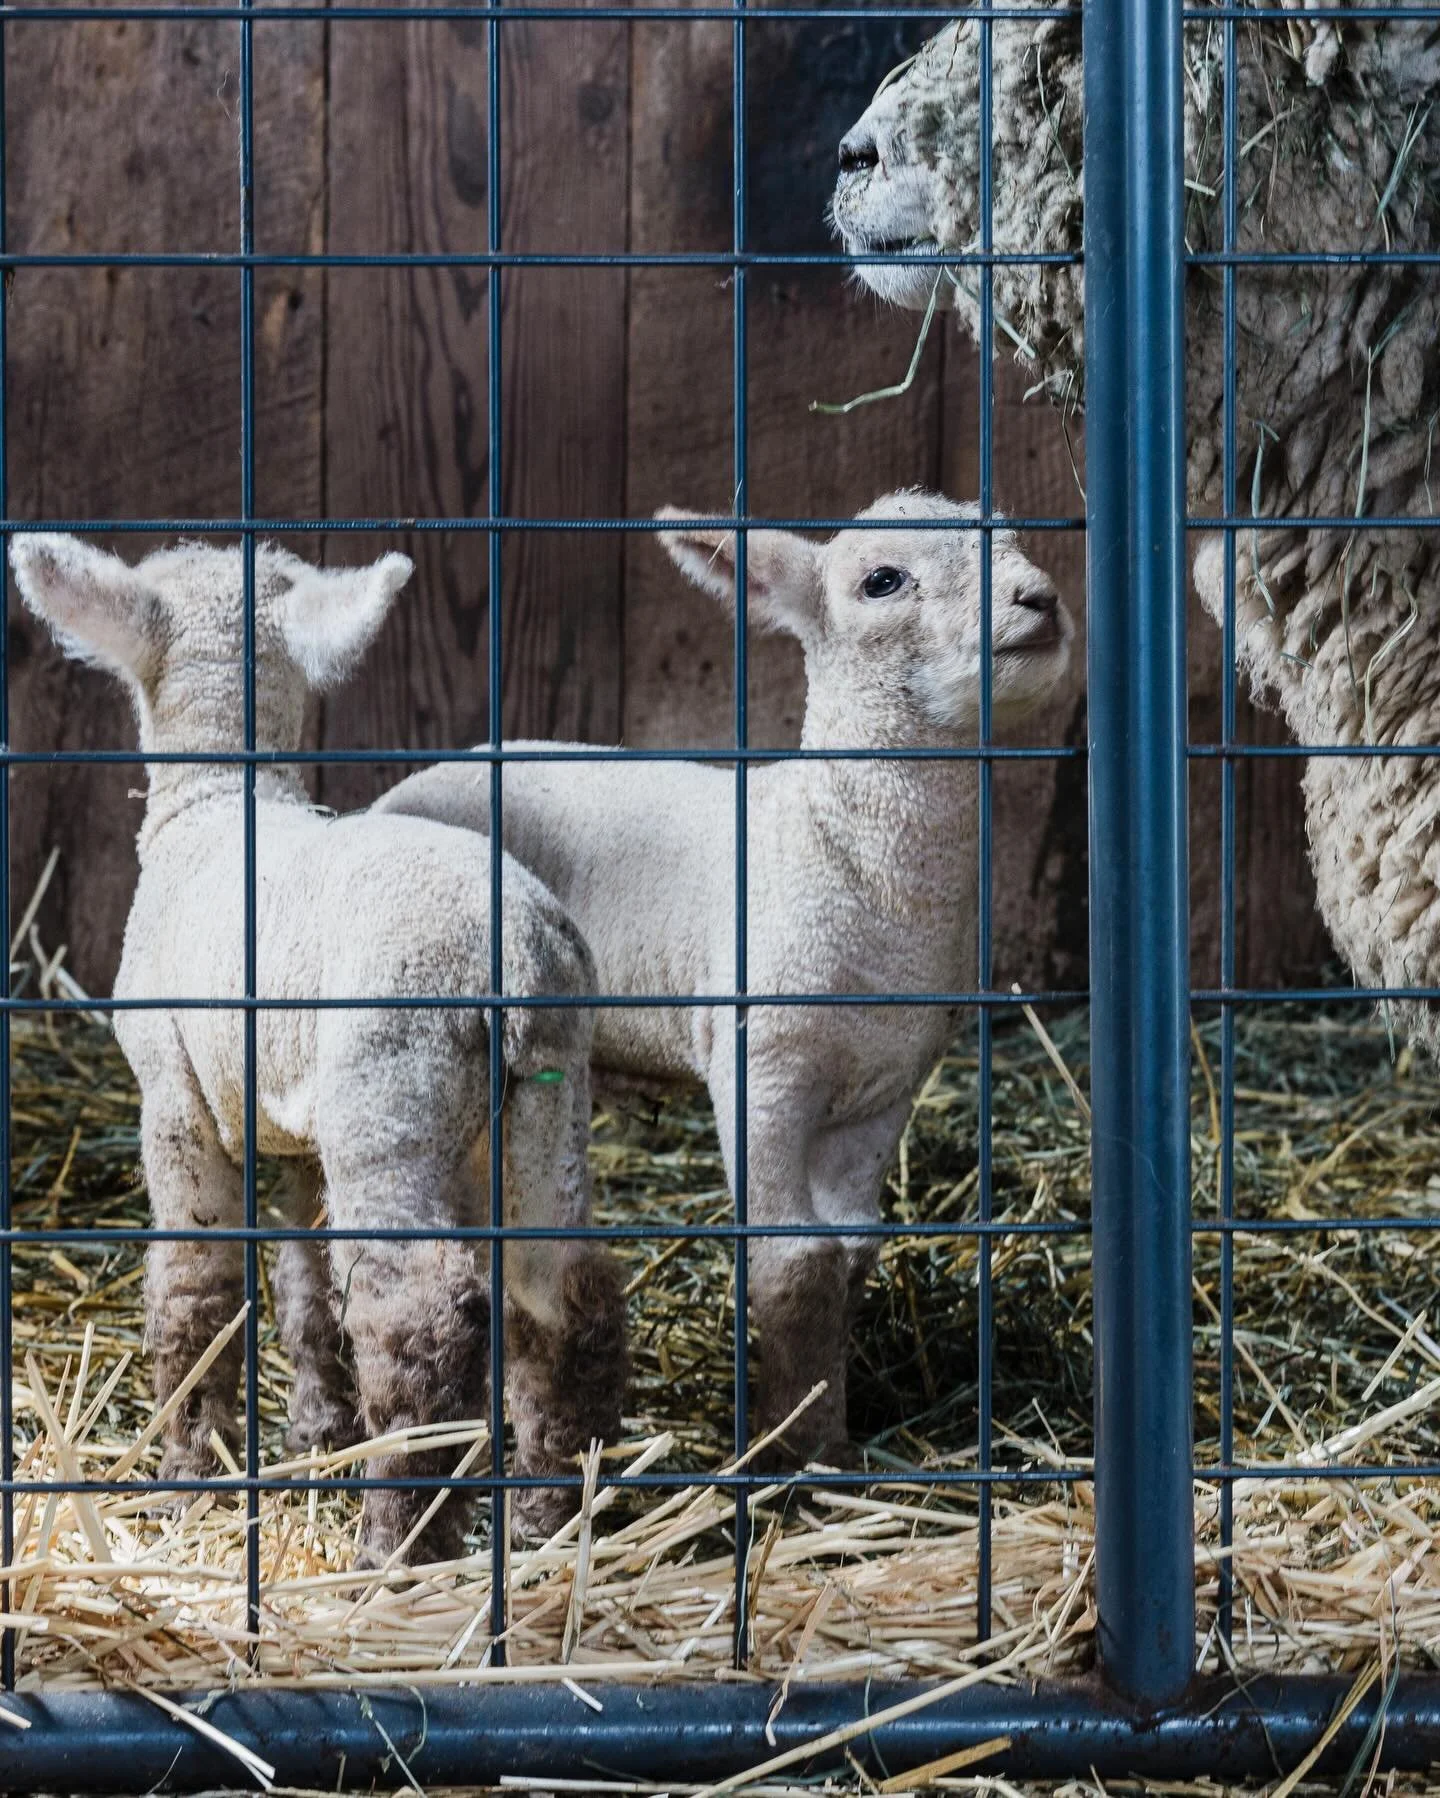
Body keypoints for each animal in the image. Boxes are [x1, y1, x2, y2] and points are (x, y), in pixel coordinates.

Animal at [9, 534, 627, 1560]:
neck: (222, 803)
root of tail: (512, 952)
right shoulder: (288, 1125)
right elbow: (301, 1287)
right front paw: (318, 1430)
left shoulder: (173, 1092)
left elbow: (195, 1289)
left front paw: (189, 1473)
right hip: (548, 1099)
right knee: (562, 1296)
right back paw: (550, 1518)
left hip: (388, 1088)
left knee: (421, 1315)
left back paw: (397, 1542)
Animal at [374, 491, 1072, 1465]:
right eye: (881, 579)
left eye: (1012, 538)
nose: (1039, 600)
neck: (843, 857)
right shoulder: (763, 1064)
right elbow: (793, 1262)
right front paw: (799, 1453)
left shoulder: (885, 1087)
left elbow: (851, 1251)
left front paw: (830, 1427)